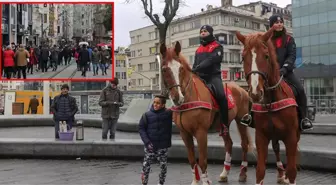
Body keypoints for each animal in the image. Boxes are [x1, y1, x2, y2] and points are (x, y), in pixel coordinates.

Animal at [159, 42, 284, 185]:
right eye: (164, 69)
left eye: (180, 69)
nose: (177, 97)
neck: (188, 98)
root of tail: (242, 90)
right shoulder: (184, 134)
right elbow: (191, 160)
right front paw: (195, 181)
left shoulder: (201, 132)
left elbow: (202, 161)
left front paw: (206, 181)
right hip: (223, 124)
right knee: (228, 144)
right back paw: (225, 173)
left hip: (240, 121)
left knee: (244, 144)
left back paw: (243, 173)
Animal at [236, 27, 300, 185]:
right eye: (243, 57)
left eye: (266, 56)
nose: (255, 92)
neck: (271, 101)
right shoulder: (261, 136)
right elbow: (260, 170)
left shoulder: (291, 136)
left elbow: (292, 169)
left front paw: (289, 176)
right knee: (276, 148)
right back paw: (280, 174)